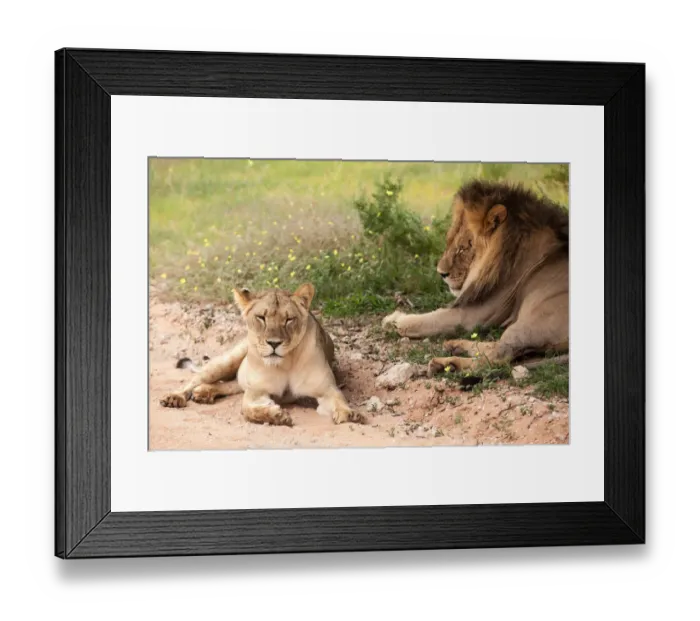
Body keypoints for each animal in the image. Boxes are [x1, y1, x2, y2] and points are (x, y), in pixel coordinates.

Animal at [160, 283, 364, 427]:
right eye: (261, 317)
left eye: (289, 319)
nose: (274, 343)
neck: (285, 363)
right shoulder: (256, 392)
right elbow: (249, 410)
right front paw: (277, 416)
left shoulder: (326, 390)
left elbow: (339, 399)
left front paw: (349, 414)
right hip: (227, 361)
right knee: (197, 380)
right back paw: (176, 397)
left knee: (229, 385)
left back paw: (203, 393)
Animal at [382, 179, 569, 377]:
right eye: (449, 241)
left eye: (463, 248)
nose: (441, 273)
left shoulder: (477, 314)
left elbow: (434, 318)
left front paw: (395, 320)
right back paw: (456, 345)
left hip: (531, 323)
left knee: (495, 359)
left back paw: (446, 364)